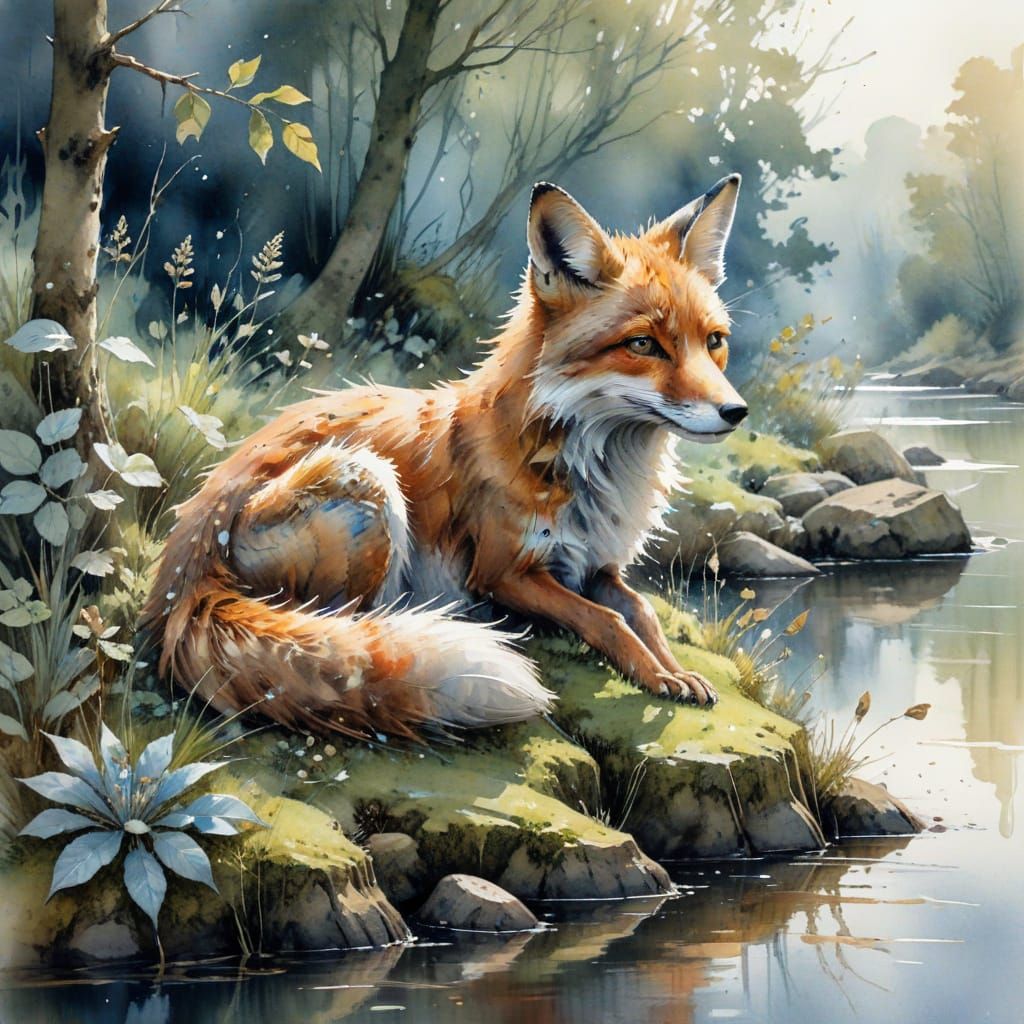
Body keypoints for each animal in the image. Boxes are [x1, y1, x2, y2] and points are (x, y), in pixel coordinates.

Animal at [142, 174, 749, 741]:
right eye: (644, 345)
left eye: (714, 342)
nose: (736, 411)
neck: (592, 470)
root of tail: (182, 575)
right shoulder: (505, 571)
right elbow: (606, 622)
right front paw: (653, 673)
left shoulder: (595, 565)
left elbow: (641, 612)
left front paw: (675, 670)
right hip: (368, 481)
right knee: (341, 635)